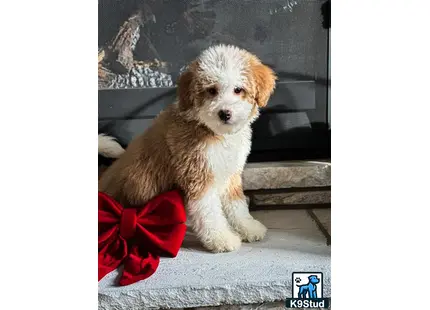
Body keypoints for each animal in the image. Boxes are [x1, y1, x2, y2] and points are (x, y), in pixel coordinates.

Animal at [98, 44, 276, 253]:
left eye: (238, 90)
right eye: (211, 91)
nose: (224, 113)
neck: (213, 132)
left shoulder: (230, 175)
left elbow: (237, 205)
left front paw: (247, 227)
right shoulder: (198, 175)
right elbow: (209, 212)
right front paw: (221, 238)